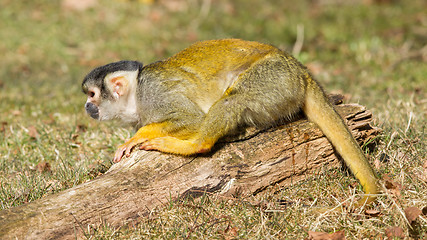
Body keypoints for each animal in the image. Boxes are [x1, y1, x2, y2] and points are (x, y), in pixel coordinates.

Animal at [82, 39, 380, 204]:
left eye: (92, 95)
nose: (87, 106)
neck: (136, 94)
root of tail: (301, 71)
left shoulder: (155, 94)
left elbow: (192, 119)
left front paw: (138, 137)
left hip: (275, 77)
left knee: (232, 100)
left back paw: (194, 145)